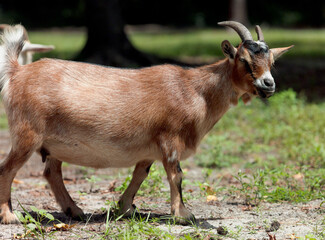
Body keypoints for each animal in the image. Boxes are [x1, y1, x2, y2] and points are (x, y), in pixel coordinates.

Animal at [0, 21, 292, 224]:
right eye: (244, 59)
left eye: (271, 60)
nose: (268, 85)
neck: (195, 90)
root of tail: (17, 72)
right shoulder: (170, 139)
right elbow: (176, 175)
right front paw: (183, 214)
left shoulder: (150, 148)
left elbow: (141, 174)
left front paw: (125, 208)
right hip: (27, 134)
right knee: (8, 169)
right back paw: (10, 216)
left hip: (54, 144)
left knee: (52, 172)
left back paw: (76, 211)